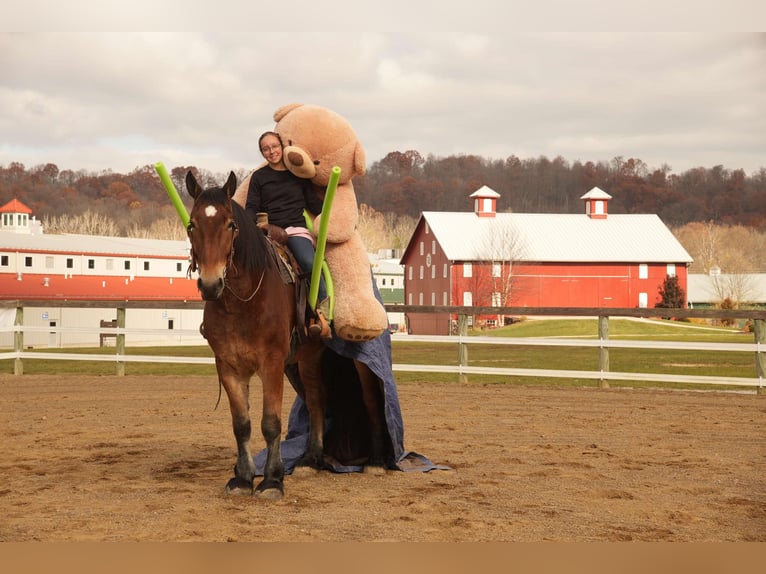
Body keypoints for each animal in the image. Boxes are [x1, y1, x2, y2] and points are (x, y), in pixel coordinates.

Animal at [186, 171, 332, 500]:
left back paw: (311, 459)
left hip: (309, 357)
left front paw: (272, 480)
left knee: (316, 400)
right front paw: (242, 477)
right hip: (294, 363)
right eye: (192, 225)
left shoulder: (271, 364)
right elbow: (242, 424)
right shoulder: (228, 366)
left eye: (230, 224)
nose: (210, 284)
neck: (242, 301)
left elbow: (270, 423)